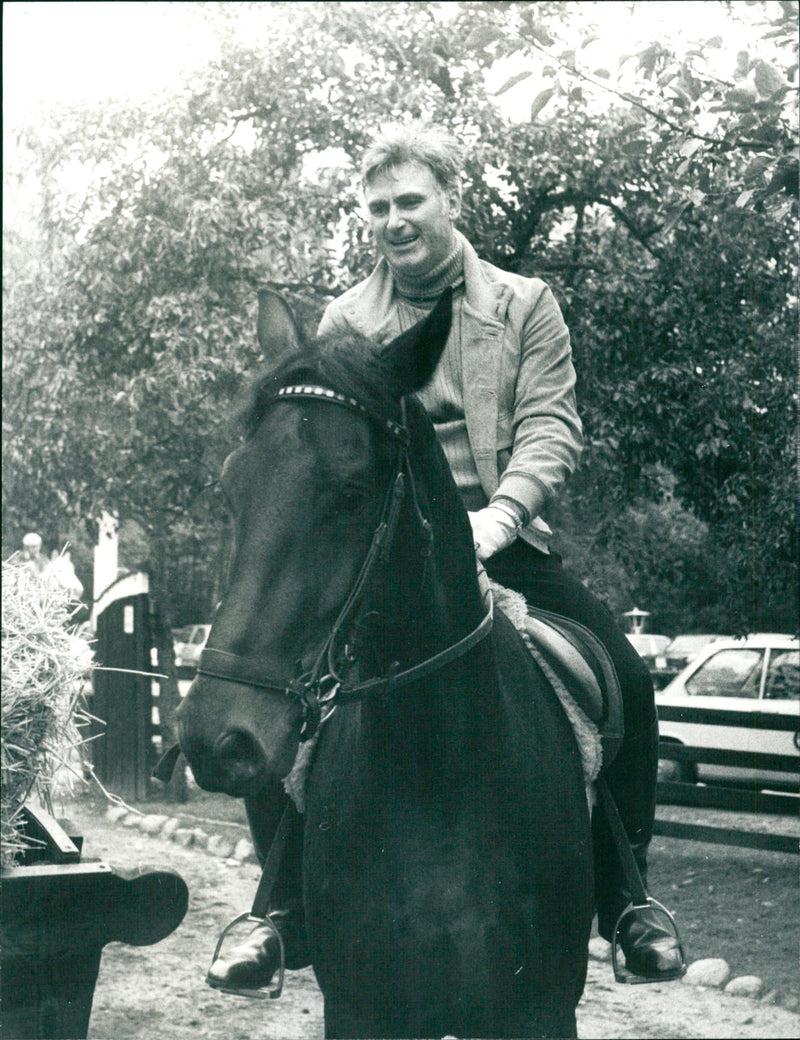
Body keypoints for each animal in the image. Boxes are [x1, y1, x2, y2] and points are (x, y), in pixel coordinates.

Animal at [177, 293, 595, 1040]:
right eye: (231, 488)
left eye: (350, 491)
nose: (216, 737)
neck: (439, 774)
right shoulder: (363, 1010)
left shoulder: (540, 1010)